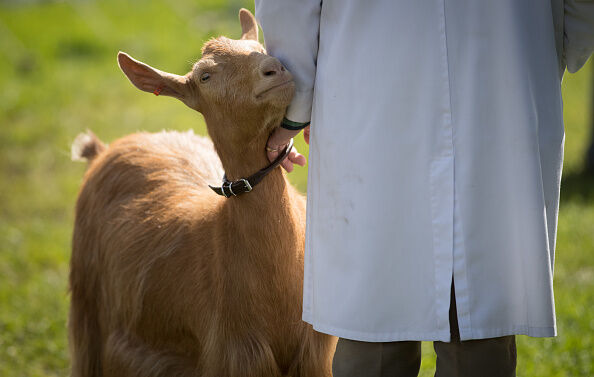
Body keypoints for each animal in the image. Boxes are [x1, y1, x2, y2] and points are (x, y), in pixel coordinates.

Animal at [69, 8, 336, 376]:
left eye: (260, 47)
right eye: (205, 76)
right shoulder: (230, 355)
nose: (274, 68)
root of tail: (103, 150)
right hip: (88, 310)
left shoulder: (313, 357)